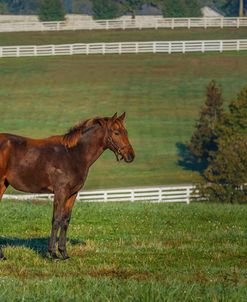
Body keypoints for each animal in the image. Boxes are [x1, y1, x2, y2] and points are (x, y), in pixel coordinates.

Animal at [0, 112, 135, 260]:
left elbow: (65, 220)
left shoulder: (72, 194)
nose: (130, 155)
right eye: (116, 132)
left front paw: (63, 253)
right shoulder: (61, 192)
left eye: (126, 132)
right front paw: (53, 254)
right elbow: (57, 219)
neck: (73, 154)